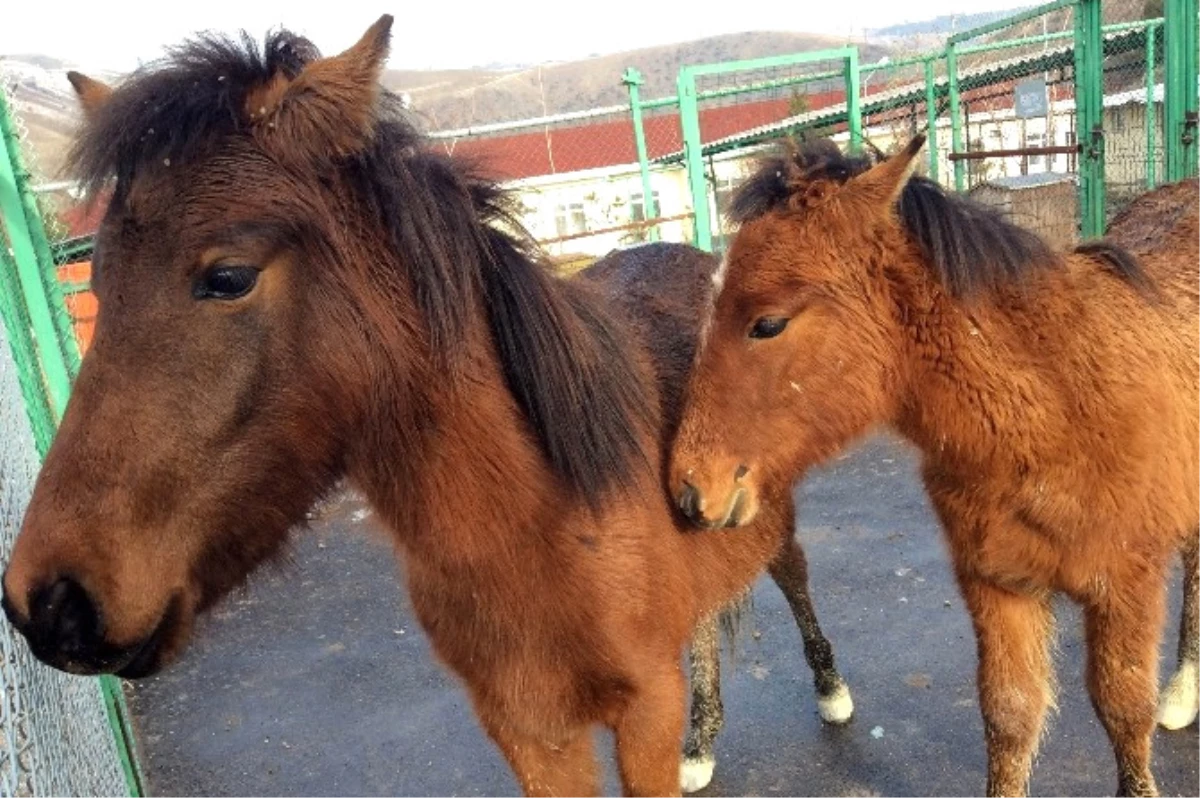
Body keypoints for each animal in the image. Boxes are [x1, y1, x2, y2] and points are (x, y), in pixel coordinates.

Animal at [0, 18, 854, 796]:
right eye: (98, 283)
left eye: (228, 276)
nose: (51, 603)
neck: (539, 528)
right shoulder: (529, 733)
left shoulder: (643, 711)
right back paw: (703, 741)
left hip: (770, 525)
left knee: (794, 574)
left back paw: (830, 691)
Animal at [672, 133, 1200, 792]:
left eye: (767, 323)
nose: (690, 488)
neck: (1054, 414)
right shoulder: (997, 586)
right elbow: (1010, 717)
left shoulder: (1126, 588)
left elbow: (1125, 714)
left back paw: (1181, 691)